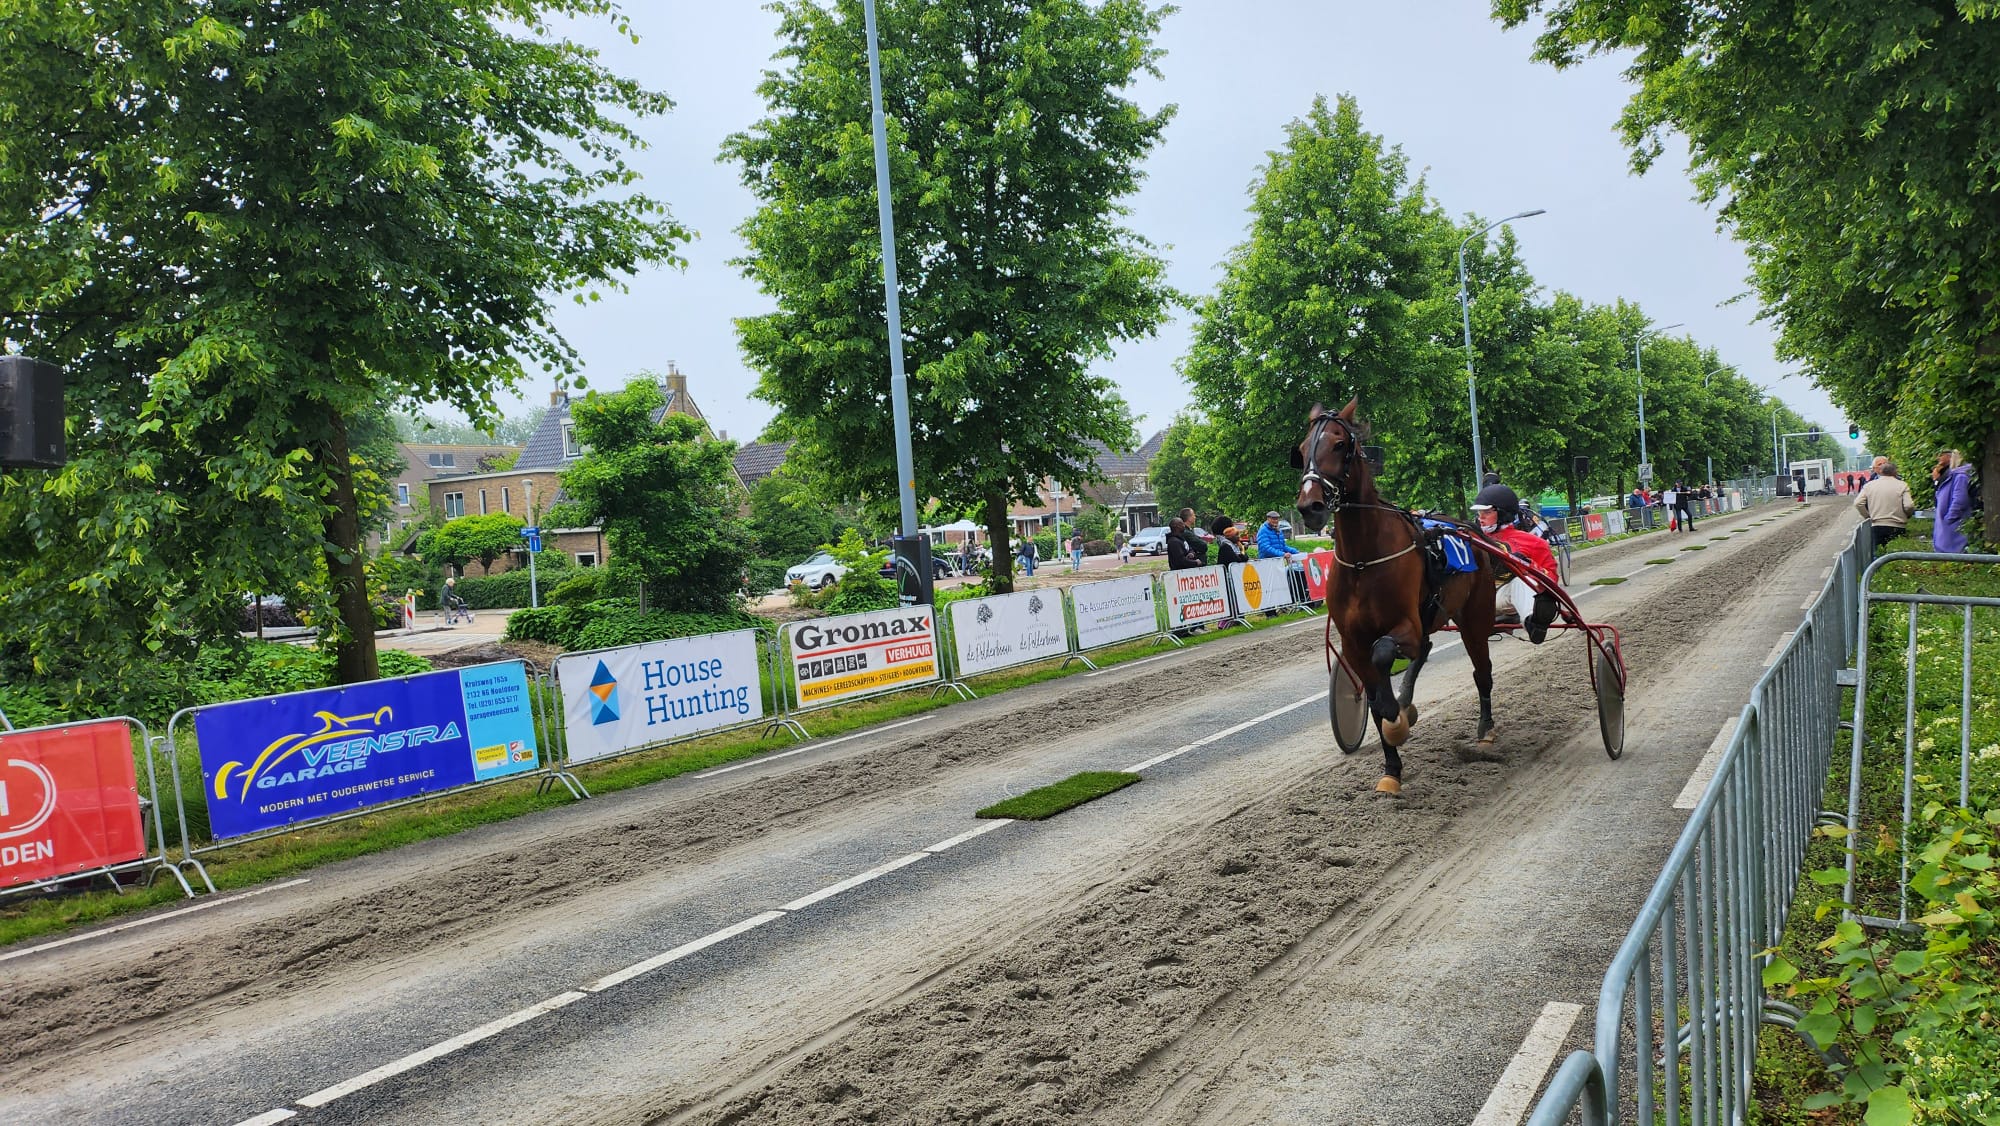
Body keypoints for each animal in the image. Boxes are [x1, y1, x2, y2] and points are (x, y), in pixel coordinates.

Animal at [1288, 400, 1496, 796]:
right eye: (1303, 450)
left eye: (1340, 444)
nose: (1310, 506)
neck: (1362, 560)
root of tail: (1467, 527)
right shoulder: (1353, 642)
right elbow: (1373, 698)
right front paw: (1392, 767)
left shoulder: (1405, 626)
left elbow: (1383, 654)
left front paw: (1397, 721)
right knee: (1426, 652)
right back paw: (1406, 703)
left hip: (1474, 618)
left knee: (1482, 671)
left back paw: (1486, 730)